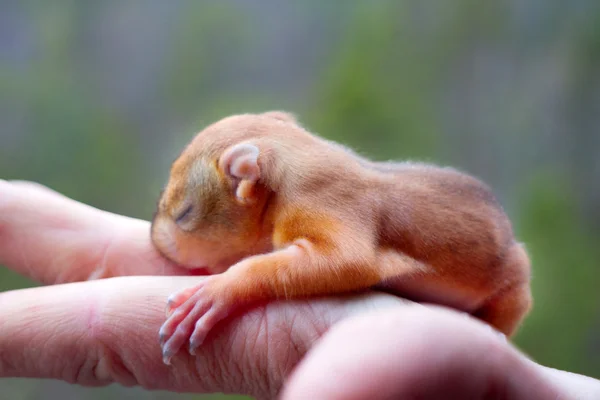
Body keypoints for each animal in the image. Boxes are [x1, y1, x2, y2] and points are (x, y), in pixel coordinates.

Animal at [152, 111, 532, 364]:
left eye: (184, 214)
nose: (156, 240)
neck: (295, 155)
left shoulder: (322, 201)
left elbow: (349, 261)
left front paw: (218, 291)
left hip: (513, 286)